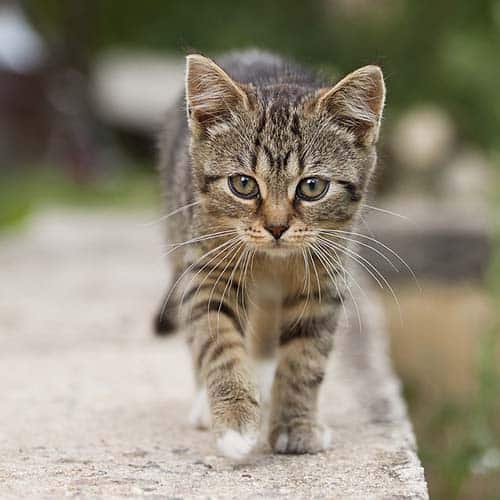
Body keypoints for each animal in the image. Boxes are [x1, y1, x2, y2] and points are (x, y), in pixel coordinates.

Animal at [154, 50, 384, 460]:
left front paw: (295, 425)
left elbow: (304, 358)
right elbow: (217, 340)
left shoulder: (324, 281)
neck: (273, 261)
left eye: (312, 187)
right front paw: (234, 421)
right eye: (243, 184)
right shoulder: (208, 269)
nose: (277, 227)